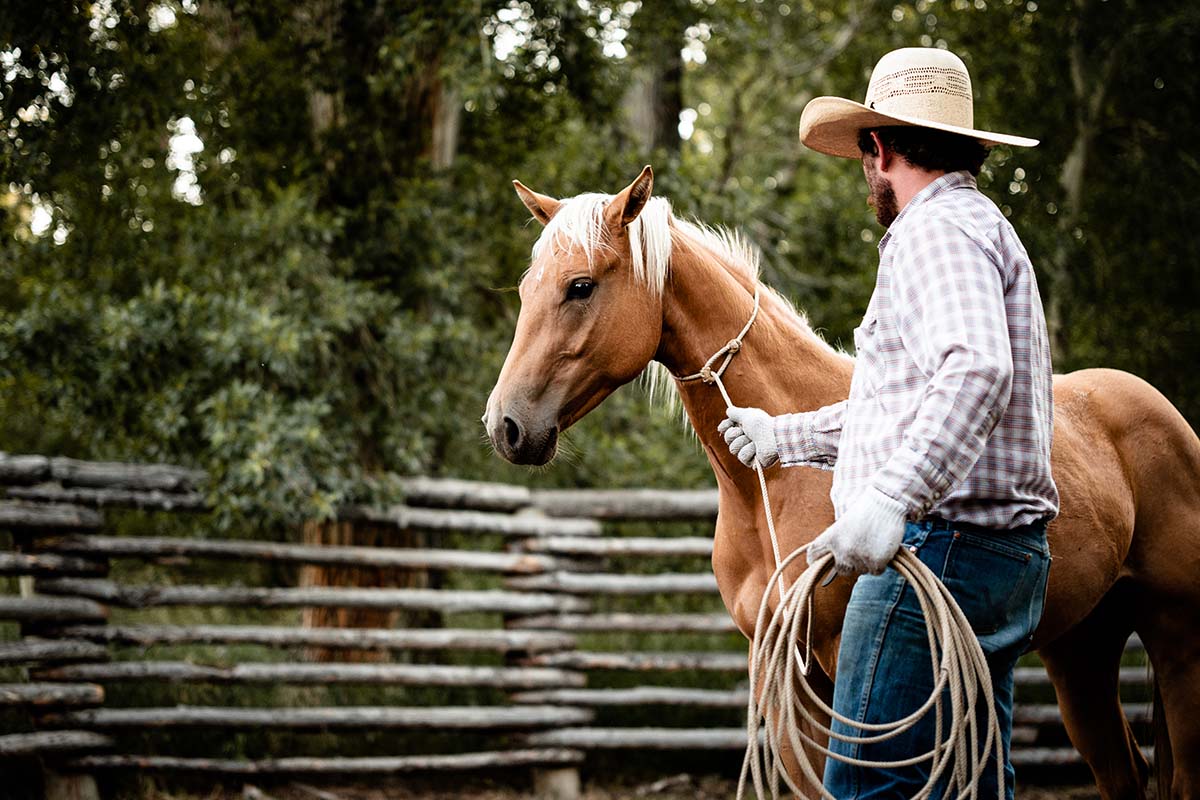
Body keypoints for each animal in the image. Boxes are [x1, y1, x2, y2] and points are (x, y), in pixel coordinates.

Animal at [482, 165, 1200, 796]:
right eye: (525, 290)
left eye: (580, 286)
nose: (505, 425)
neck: (770, 489)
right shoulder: (782, 681)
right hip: (1080, 649)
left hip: (1176, 640)